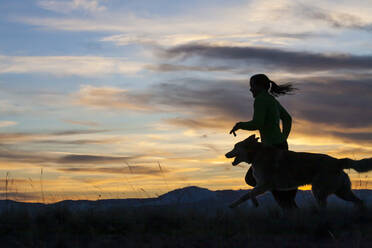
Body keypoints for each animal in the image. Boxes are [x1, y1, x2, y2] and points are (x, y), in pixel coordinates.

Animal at [225, 136, 370, 209]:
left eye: (235, 147)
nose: (226, 154)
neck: (256, 154)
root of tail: (337, 161)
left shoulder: (264, 185)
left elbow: (248, 194)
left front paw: (253, 203)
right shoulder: (262, 186)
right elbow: (246, 195)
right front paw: (236, 205)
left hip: (318, 191)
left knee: (325, 207)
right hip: (342, 192)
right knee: (360, 201)